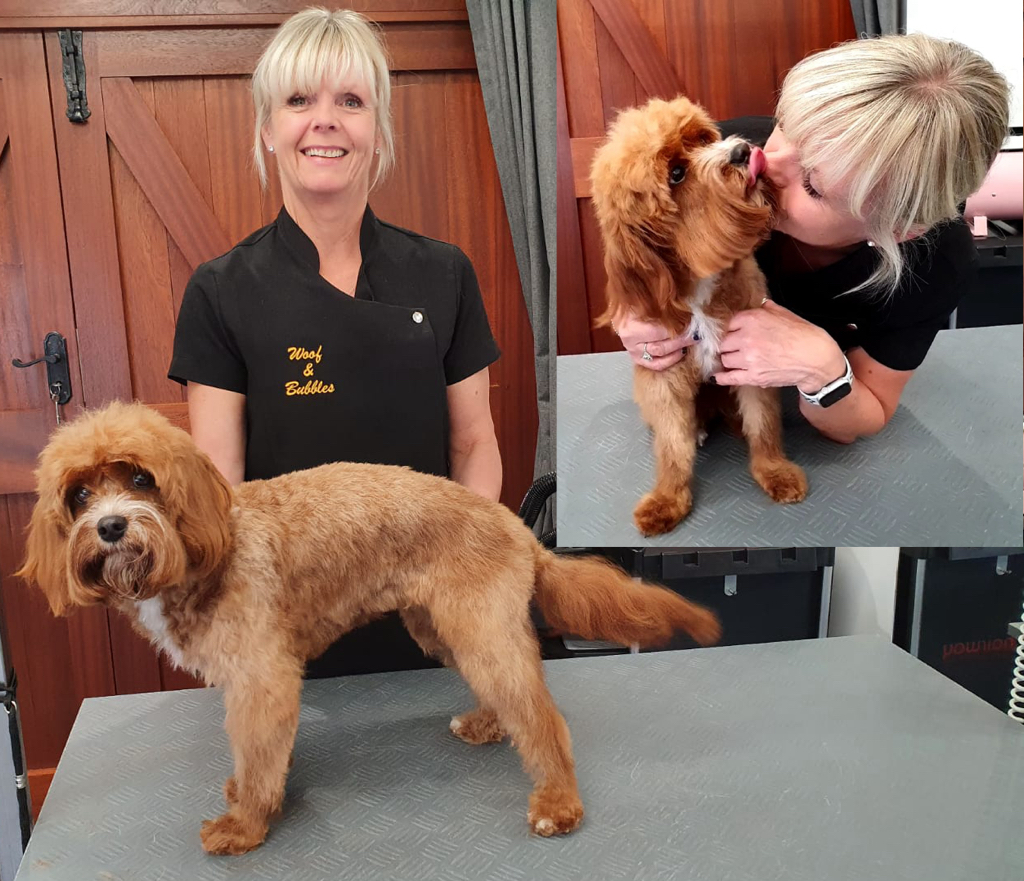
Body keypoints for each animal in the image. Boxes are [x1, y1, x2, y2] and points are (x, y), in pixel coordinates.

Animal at [16, 403, 720, 852]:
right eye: (79, 495)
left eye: (142, 478)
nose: (111, 526)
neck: (204, 549)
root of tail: (516, 528)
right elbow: (257, 753)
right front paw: (249, 793)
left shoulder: (263, 677)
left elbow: (257, 748)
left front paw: (245, 825)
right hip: (444, 628)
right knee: (511, 695)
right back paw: (488, 724)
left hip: (479, 625)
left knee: (541, 714)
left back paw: (558, 805)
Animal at [593, 96, 806, 536]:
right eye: (676, 173)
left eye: (703, 139)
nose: (741, 151)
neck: (699, 285)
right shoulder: (664, 380)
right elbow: (673, 447)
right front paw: (667, 499)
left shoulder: (749, 359)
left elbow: (763, 423)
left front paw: (774, 470)